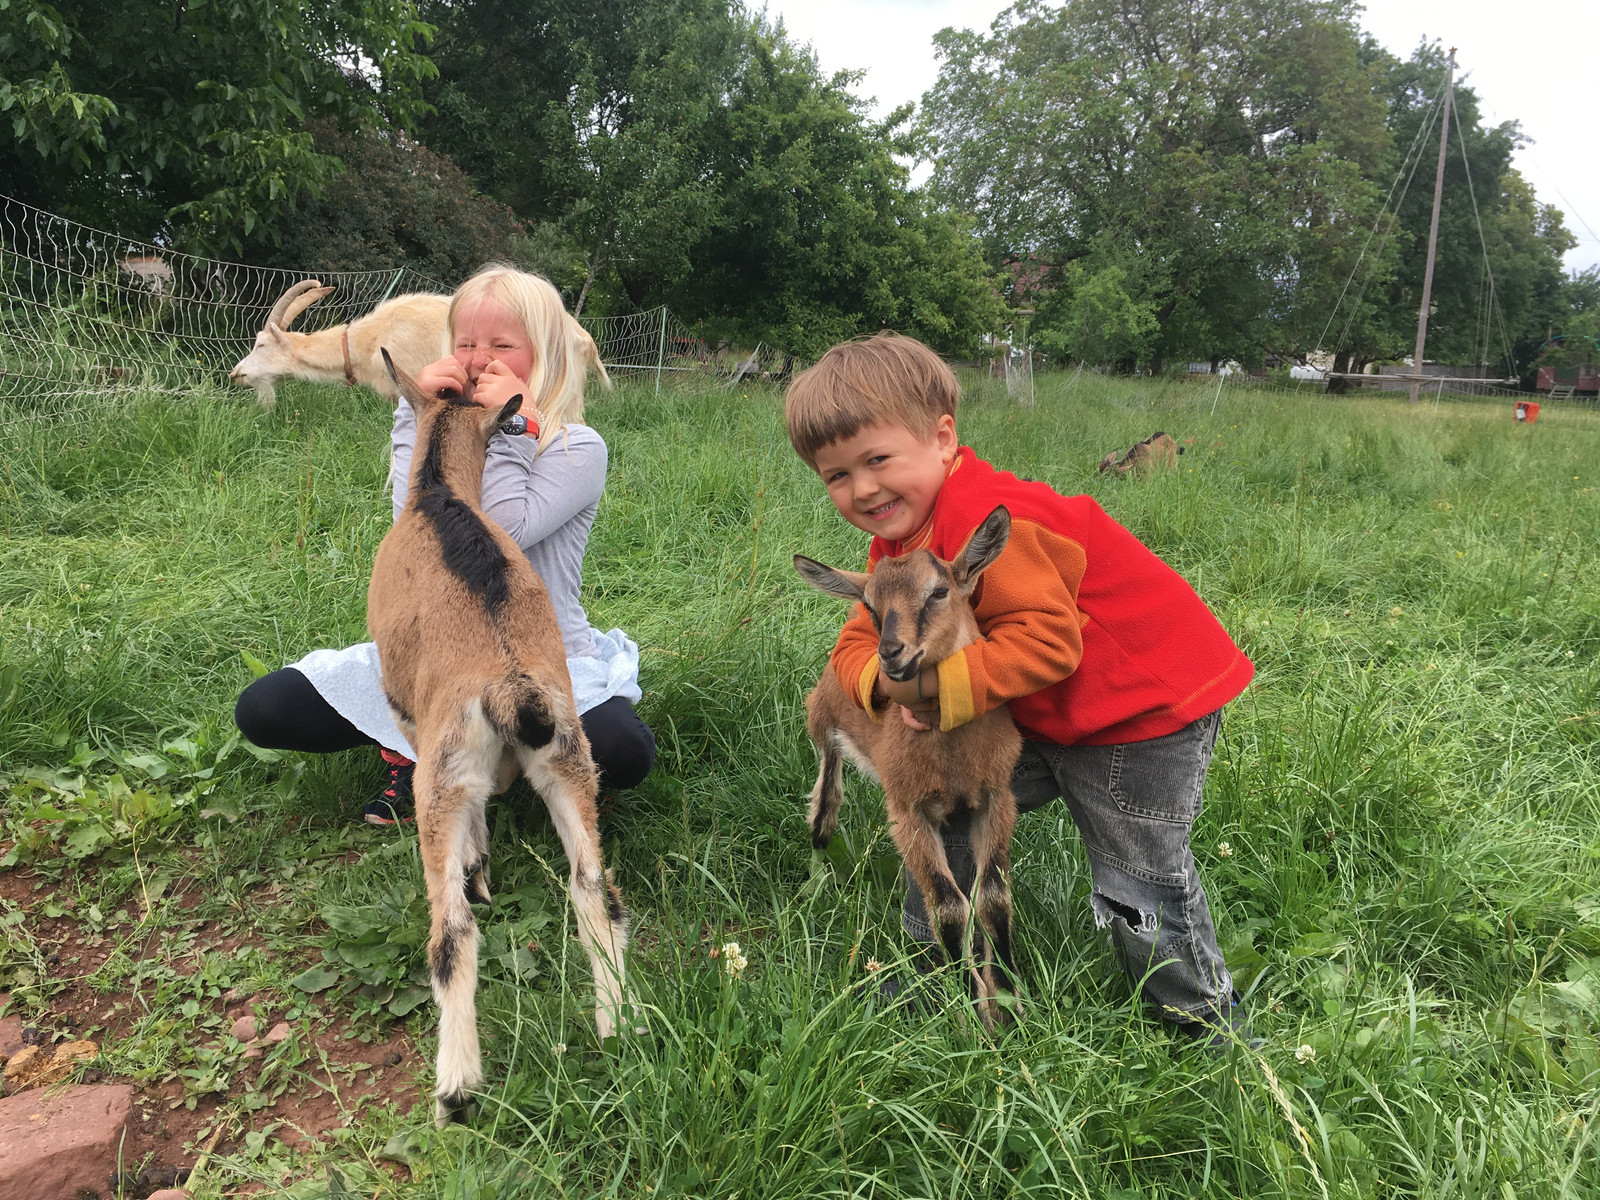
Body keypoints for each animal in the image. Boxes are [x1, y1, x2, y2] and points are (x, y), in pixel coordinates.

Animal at [368, 347, 630, 1126]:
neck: (438, 497)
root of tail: (512, 687)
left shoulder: (414, 722)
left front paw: (478, 866)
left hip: (447, 774)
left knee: (451, 934)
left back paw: (455, 1090)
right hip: (571, 760)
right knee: (596, 893)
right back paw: (619, 1027)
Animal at [796, 508, 1024, 1036]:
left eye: (938, 591)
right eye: (872, 606)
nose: (891, 653)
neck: (954, 757)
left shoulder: (996, 797)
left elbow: (992, 898)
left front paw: (1008, 1002)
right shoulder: (908, 812)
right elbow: (950, 908)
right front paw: (972, 1012)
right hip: (821, 715)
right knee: (826, 795)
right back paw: (816, 869)